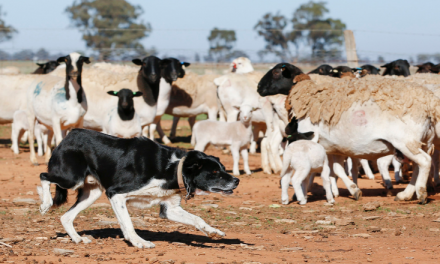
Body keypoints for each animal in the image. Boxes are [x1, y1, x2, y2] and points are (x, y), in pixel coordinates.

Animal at [37, 129, 239, 249]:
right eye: (214, 172)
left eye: (223, 168)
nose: (237, 180)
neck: (172, 168)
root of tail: (69, 134)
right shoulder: (116, 194)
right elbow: (128, 224)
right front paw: (139, 242)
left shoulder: (170, 209)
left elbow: (197, 219)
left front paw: (213, 232)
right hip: (72, 179)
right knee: (43, 176)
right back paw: (45, 203)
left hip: (91, 193)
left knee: (65, 217)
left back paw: (78, 238)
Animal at [258, 64, 440, 204]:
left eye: (276, 72)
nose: (258, 88)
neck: (308, 98)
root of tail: (429, 104)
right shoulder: (334, 147)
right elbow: (337, 170)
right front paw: (353, 190)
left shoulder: (312, 141)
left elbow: (324, 172)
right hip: (422, 141)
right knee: (419, 166)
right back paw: (406, 194)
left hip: (406, 141)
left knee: (424, 162)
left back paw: (421, 193)